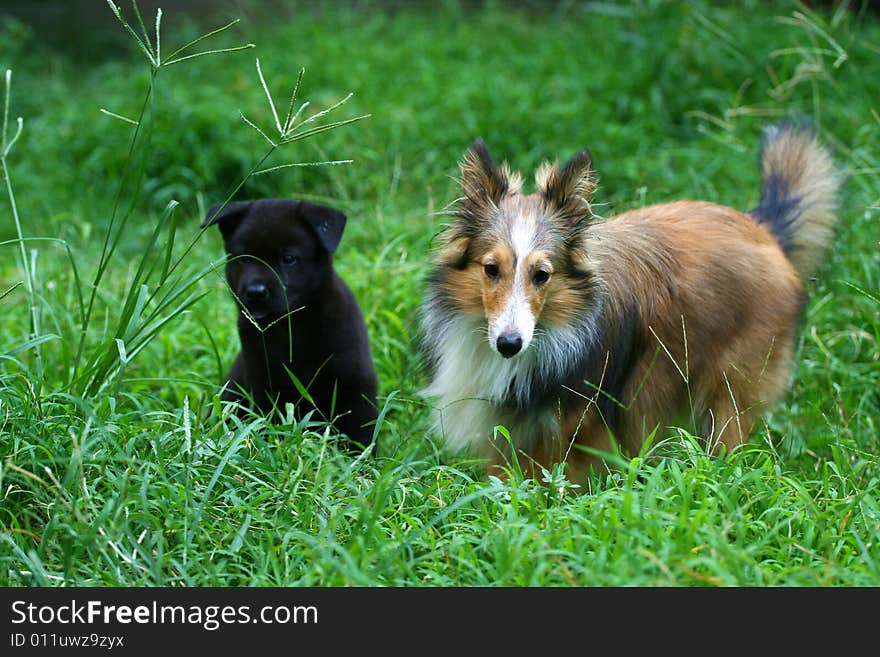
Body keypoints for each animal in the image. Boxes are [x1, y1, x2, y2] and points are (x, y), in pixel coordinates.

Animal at [203, 197, 382, 452]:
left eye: (288, 258)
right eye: (244, 258)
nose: (255, 292)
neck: (290, 326)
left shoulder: (355, 383)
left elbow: (361, 434)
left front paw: (360, 461)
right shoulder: (263, 384)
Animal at [422, 124, 844, 482]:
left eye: (542, 274)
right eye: (491, 269)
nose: (509, 345)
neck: (557, 330)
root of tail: (762, 227)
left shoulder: (577, 431)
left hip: (729, 388)